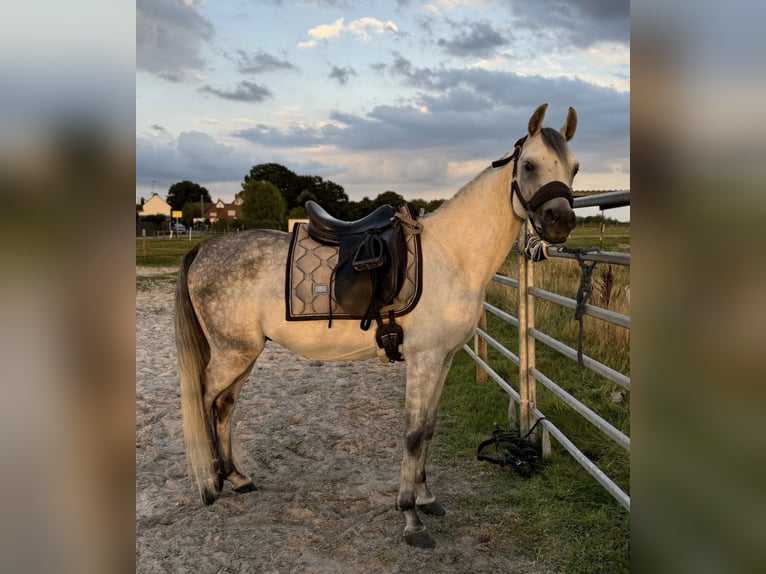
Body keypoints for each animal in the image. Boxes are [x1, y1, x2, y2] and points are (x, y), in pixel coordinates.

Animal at [175, 103, 579, 548]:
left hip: (244, 354)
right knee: (204, 400)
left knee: (224, 405)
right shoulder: (423, 360)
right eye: (528, 165)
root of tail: (204, 249)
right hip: (232, 353)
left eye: (574, 168)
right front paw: (410, 517)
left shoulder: (443, 359)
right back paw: (211, 484)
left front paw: (426, 498)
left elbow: (429, 428)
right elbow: (413, 433)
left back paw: (236, 477)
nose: (560, 221)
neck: (452, 256)